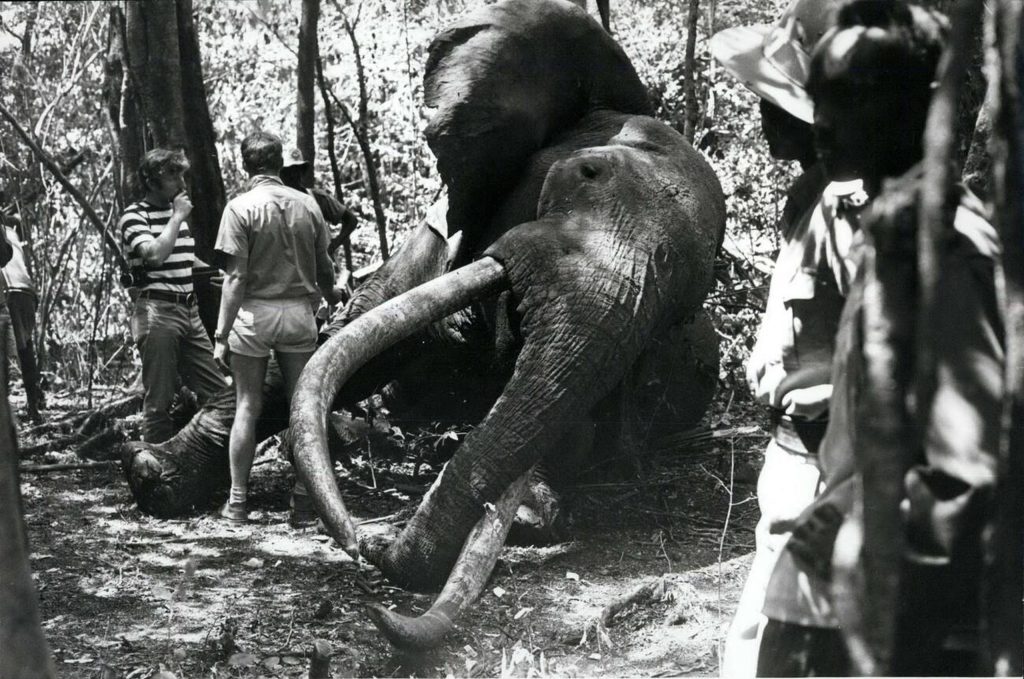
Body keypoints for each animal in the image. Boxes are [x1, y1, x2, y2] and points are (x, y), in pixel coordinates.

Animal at [122, 0, 725, 650]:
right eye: (588, 173)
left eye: (680, 304)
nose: (370, 543)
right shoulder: (443, 235)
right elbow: (344, 347)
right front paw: (149, 475)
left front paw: (529, 511)